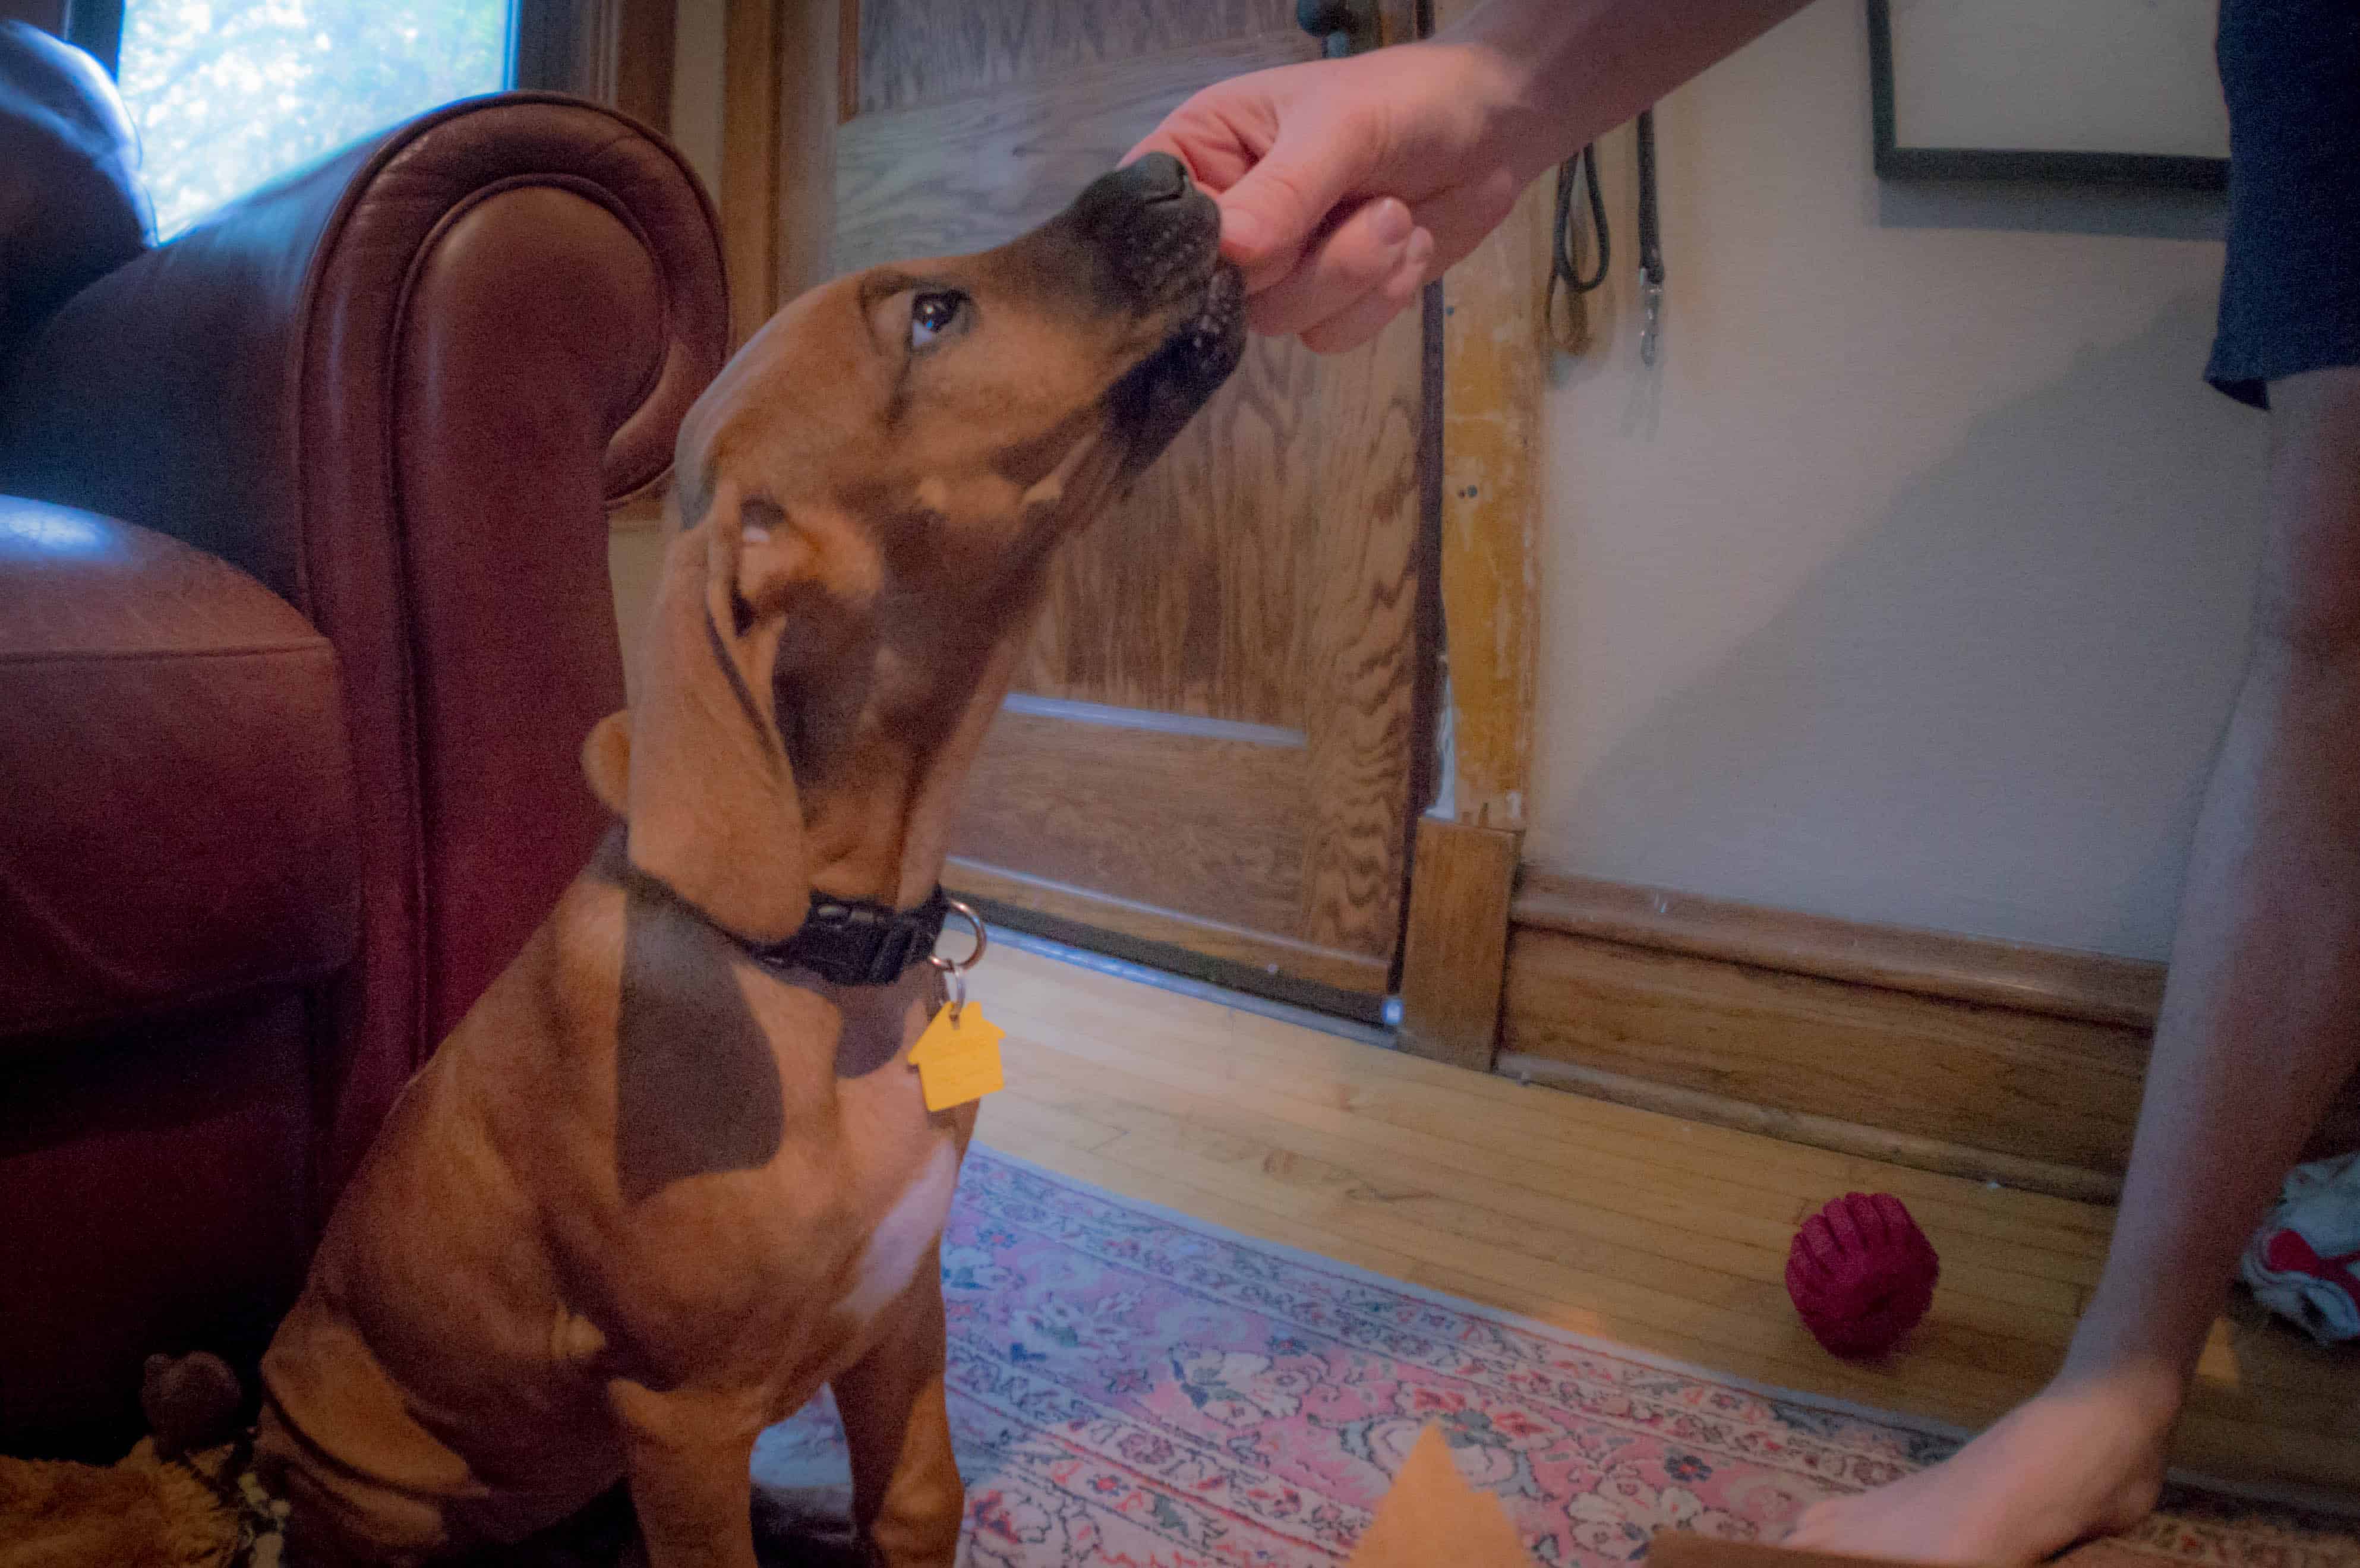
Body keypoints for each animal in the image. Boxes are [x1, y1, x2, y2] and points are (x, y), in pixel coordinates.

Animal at [253, 150, 1255, 1568]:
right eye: (933, 317)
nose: (1163, 167)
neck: (827, 960)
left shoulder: (902, 1302)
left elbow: (920, 1492)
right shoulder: (683, 1410)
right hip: (382, 1471)